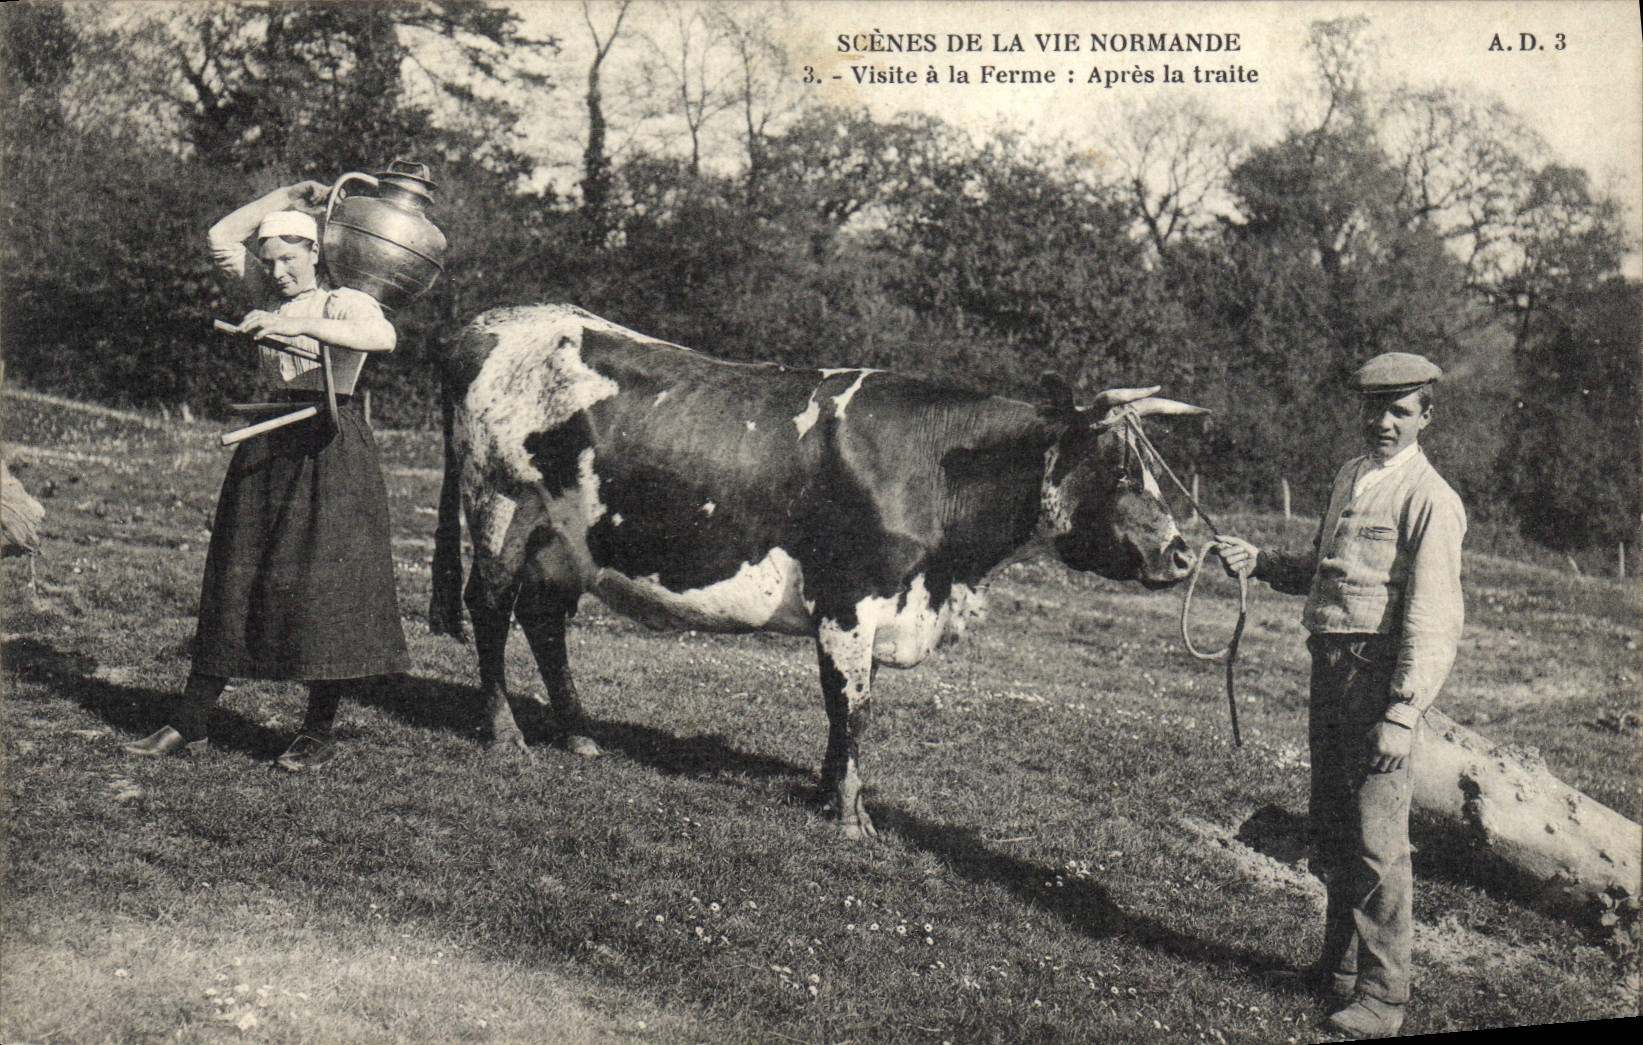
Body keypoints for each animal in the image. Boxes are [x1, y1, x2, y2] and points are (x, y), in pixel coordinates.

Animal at [429, 304, 1204, 839]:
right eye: (1117, 466)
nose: (1181, 552)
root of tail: (483, 325)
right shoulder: (848, 597)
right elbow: (851, 705)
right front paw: (852, 816)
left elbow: (850, 706)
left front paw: (827, 794)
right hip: (500, 501)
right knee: (490, 604)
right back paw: (505, 733)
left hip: (561, 538)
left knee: (542, 619)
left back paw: (579, 733)